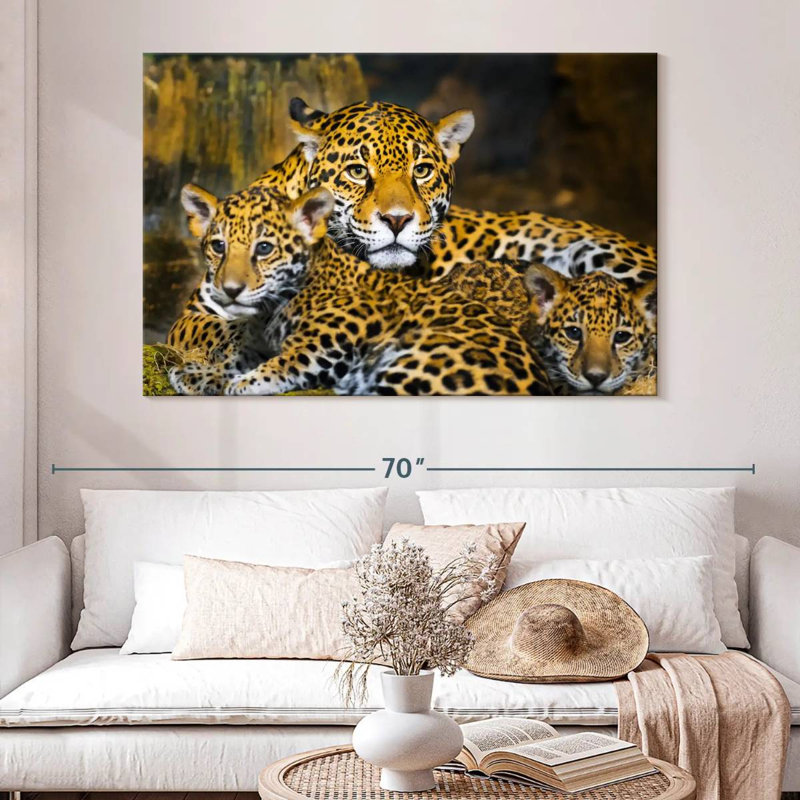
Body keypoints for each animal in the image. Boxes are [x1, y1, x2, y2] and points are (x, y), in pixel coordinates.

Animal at [168, 187, 553, 396]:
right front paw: (197, 375)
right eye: (218, 246)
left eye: (264, 249)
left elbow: (284, 363)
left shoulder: (331, 340)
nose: (231, 290)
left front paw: (242, 382)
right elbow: (235, 358)